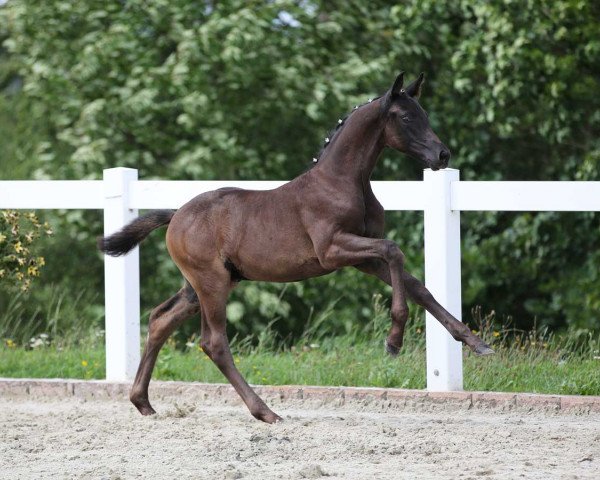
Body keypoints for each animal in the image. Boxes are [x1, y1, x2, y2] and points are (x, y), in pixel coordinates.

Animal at [98, 72, 492, 424]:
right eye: (408, 117)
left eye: (424, 114)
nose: (442, 155)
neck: (341, 182)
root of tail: (176, 214)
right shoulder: (332, 251)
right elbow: (394, 250)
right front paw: (394, 340)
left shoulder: (364, 259)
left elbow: (416, 286)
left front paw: (476, 343)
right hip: (211, 283)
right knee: (214, 342)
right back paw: (265, 412)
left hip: (203, 285)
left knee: (160, 319)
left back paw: (143, 402)